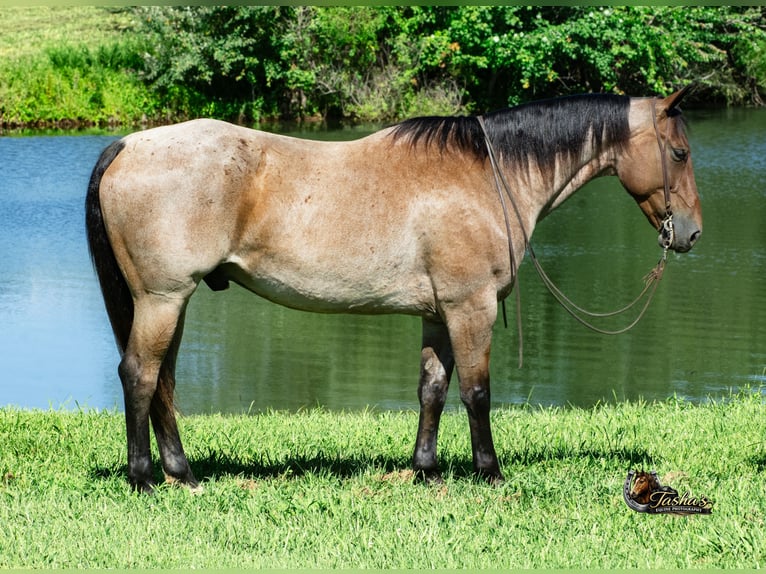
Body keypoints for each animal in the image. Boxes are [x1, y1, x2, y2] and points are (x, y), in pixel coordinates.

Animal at [86, 87, 702, 492]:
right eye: (679, 153)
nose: (691, 233)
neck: (489, 176)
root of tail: (129, 145)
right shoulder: (470, 307)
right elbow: (476, 392)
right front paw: (490, 473)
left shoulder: (439, 313)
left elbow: (431, 389)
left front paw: (425, 470)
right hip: (163, 299)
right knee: (140, 375)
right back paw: (143, 479)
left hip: (170, 303)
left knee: (162, 381)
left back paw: (182, 473)